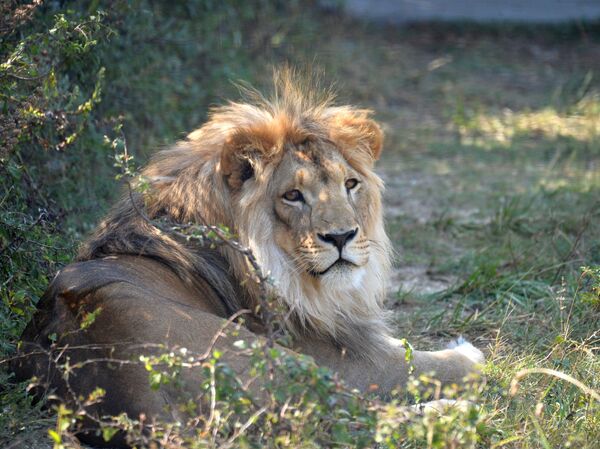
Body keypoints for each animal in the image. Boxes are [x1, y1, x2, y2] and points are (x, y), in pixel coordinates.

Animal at [11, 72, 486, 446]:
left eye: (351, 184)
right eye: (292, 195)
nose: (342, 236)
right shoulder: (349, 360)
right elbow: (419, 363)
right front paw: (467, 354)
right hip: (282, 361)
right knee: (349, 420)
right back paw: (453, 411)